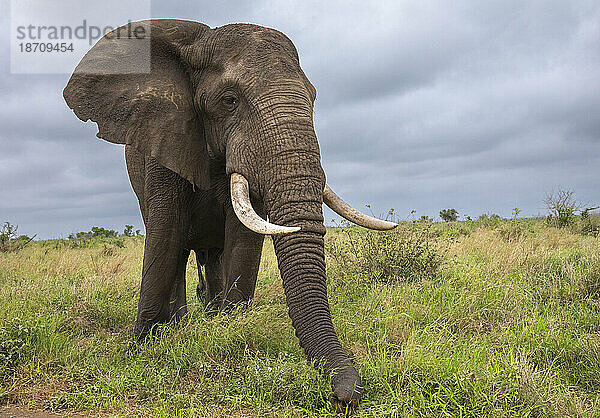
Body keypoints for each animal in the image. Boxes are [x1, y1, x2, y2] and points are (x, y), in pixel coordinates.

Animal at [63, 20, 396, 408]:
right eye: (229, 101)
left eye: (313, 98)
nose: (347, 395)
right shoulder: (164, 138)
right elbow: (165, 235)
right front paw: (141, 349)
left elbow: (243, 240)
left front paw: (229, 332)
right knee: (178, 252)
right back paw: (180, 326)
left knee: (214, 256)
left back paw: (209, 317)